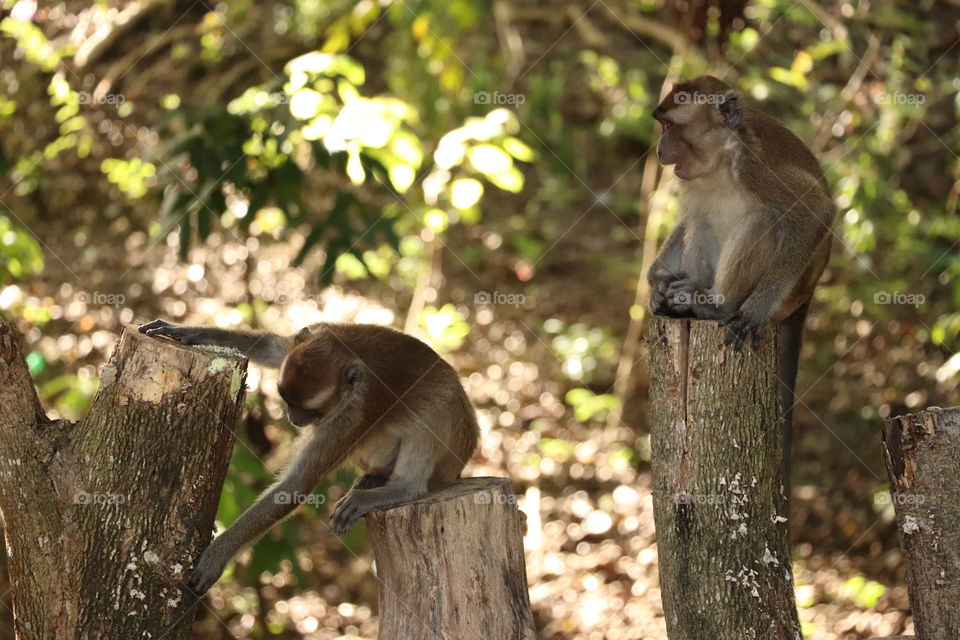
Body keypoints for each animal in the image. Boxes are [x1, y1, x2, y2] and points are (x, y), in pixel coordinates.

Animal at [138, 318, 479, 595]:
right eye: (286, 400)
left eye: (310, 409)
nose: (293, 418)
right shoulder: (314, 334)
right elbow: (272, 347)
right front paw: (185, 332)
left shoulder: (353, 413)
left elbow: (295, 487)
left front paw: (216, 555)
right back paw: (377, 477)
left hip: (451, 443)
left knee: (433, 411)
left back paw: (399, 488)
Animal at [646, 75, 835, 483]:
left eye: (669, 126)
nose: (660, 150)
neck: (720, 161)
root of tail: (810, 292)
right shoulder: (692, 179)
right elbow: (691, 216)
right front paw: (658, 282)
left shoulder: (756, 167)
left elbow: (816, 212)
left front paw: (753, 310)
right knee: (701, 217)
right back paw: (684, 299)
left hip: (790, 290)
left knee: (765, 220)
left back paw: (717, 306)